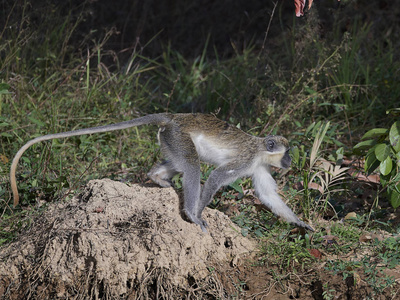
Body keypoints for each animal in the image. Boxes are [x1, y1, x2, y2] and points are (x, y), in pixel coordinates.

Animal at [10, 112, 312, 232]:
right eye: (287, 152)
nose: (289, 162)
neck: (260, 150)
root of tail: (173, 117)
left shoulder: (259, 167)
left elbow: (267, 195)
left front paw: (301, 223)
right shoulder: (247, 159)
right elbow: (215, 178)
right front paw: (196, 215)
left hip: (169, 138)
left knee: (182, 162)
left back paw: (156, 177)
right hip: (177, 135)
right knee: (192, 165)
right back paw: (188, 208)